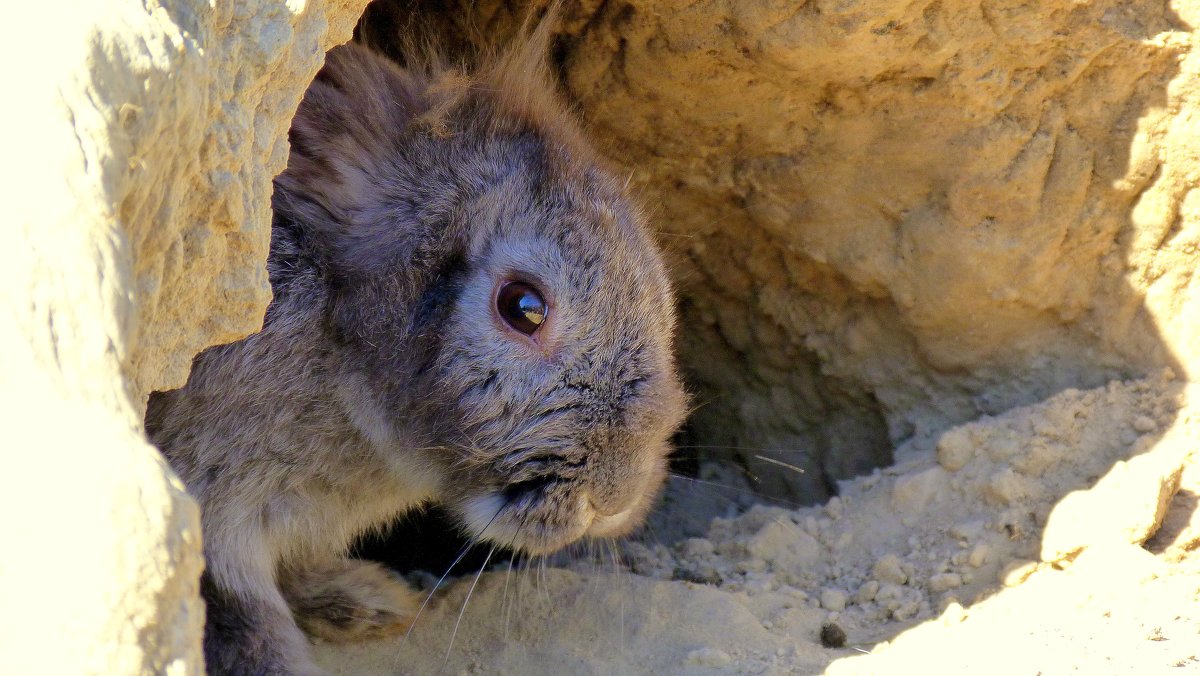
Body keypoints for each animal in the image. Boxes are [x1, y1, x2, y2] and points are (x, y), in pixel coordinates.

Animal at [142, 21, 686, 676]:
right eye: (523, 307)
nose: (617, 496)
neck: (340, 351)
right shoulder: (209, 498)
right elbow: (240, 615)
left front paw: (368, 601)